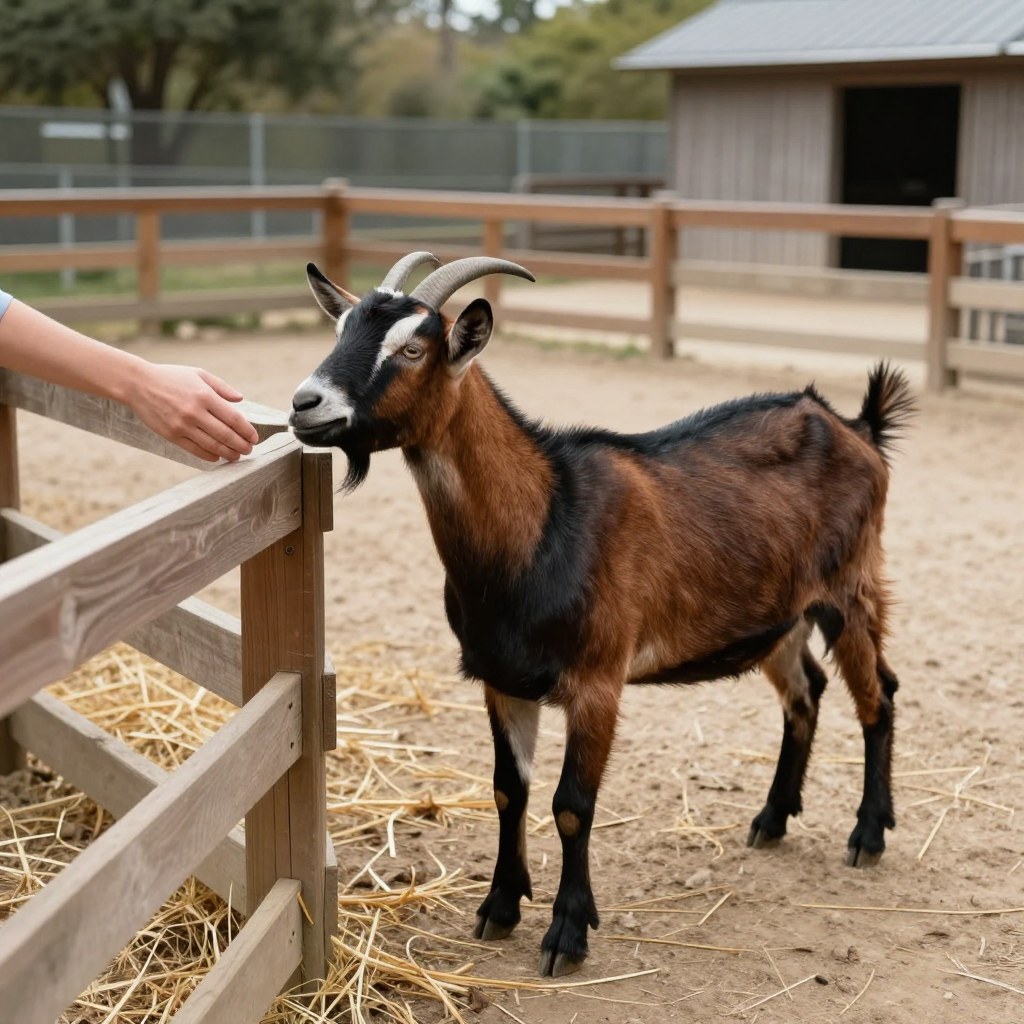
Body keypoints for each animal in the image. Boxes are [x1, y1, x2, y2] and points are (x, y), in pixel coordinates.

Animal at [289, 253, 915, 978]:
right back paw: (773, 819)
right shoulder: (503, 679)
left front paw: (567, 932)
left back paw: (867, 834)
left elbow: (570, 807)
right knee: (805, 692)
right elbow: (508, 791)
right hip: (781, 615)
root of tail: (858, 428)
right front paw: (499, 908)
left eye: (413, 348)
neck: (542, 521)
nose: (305, 403)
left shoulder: (597, 682)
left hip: (850, 589)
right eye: (341, 329)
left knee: (878, 696)